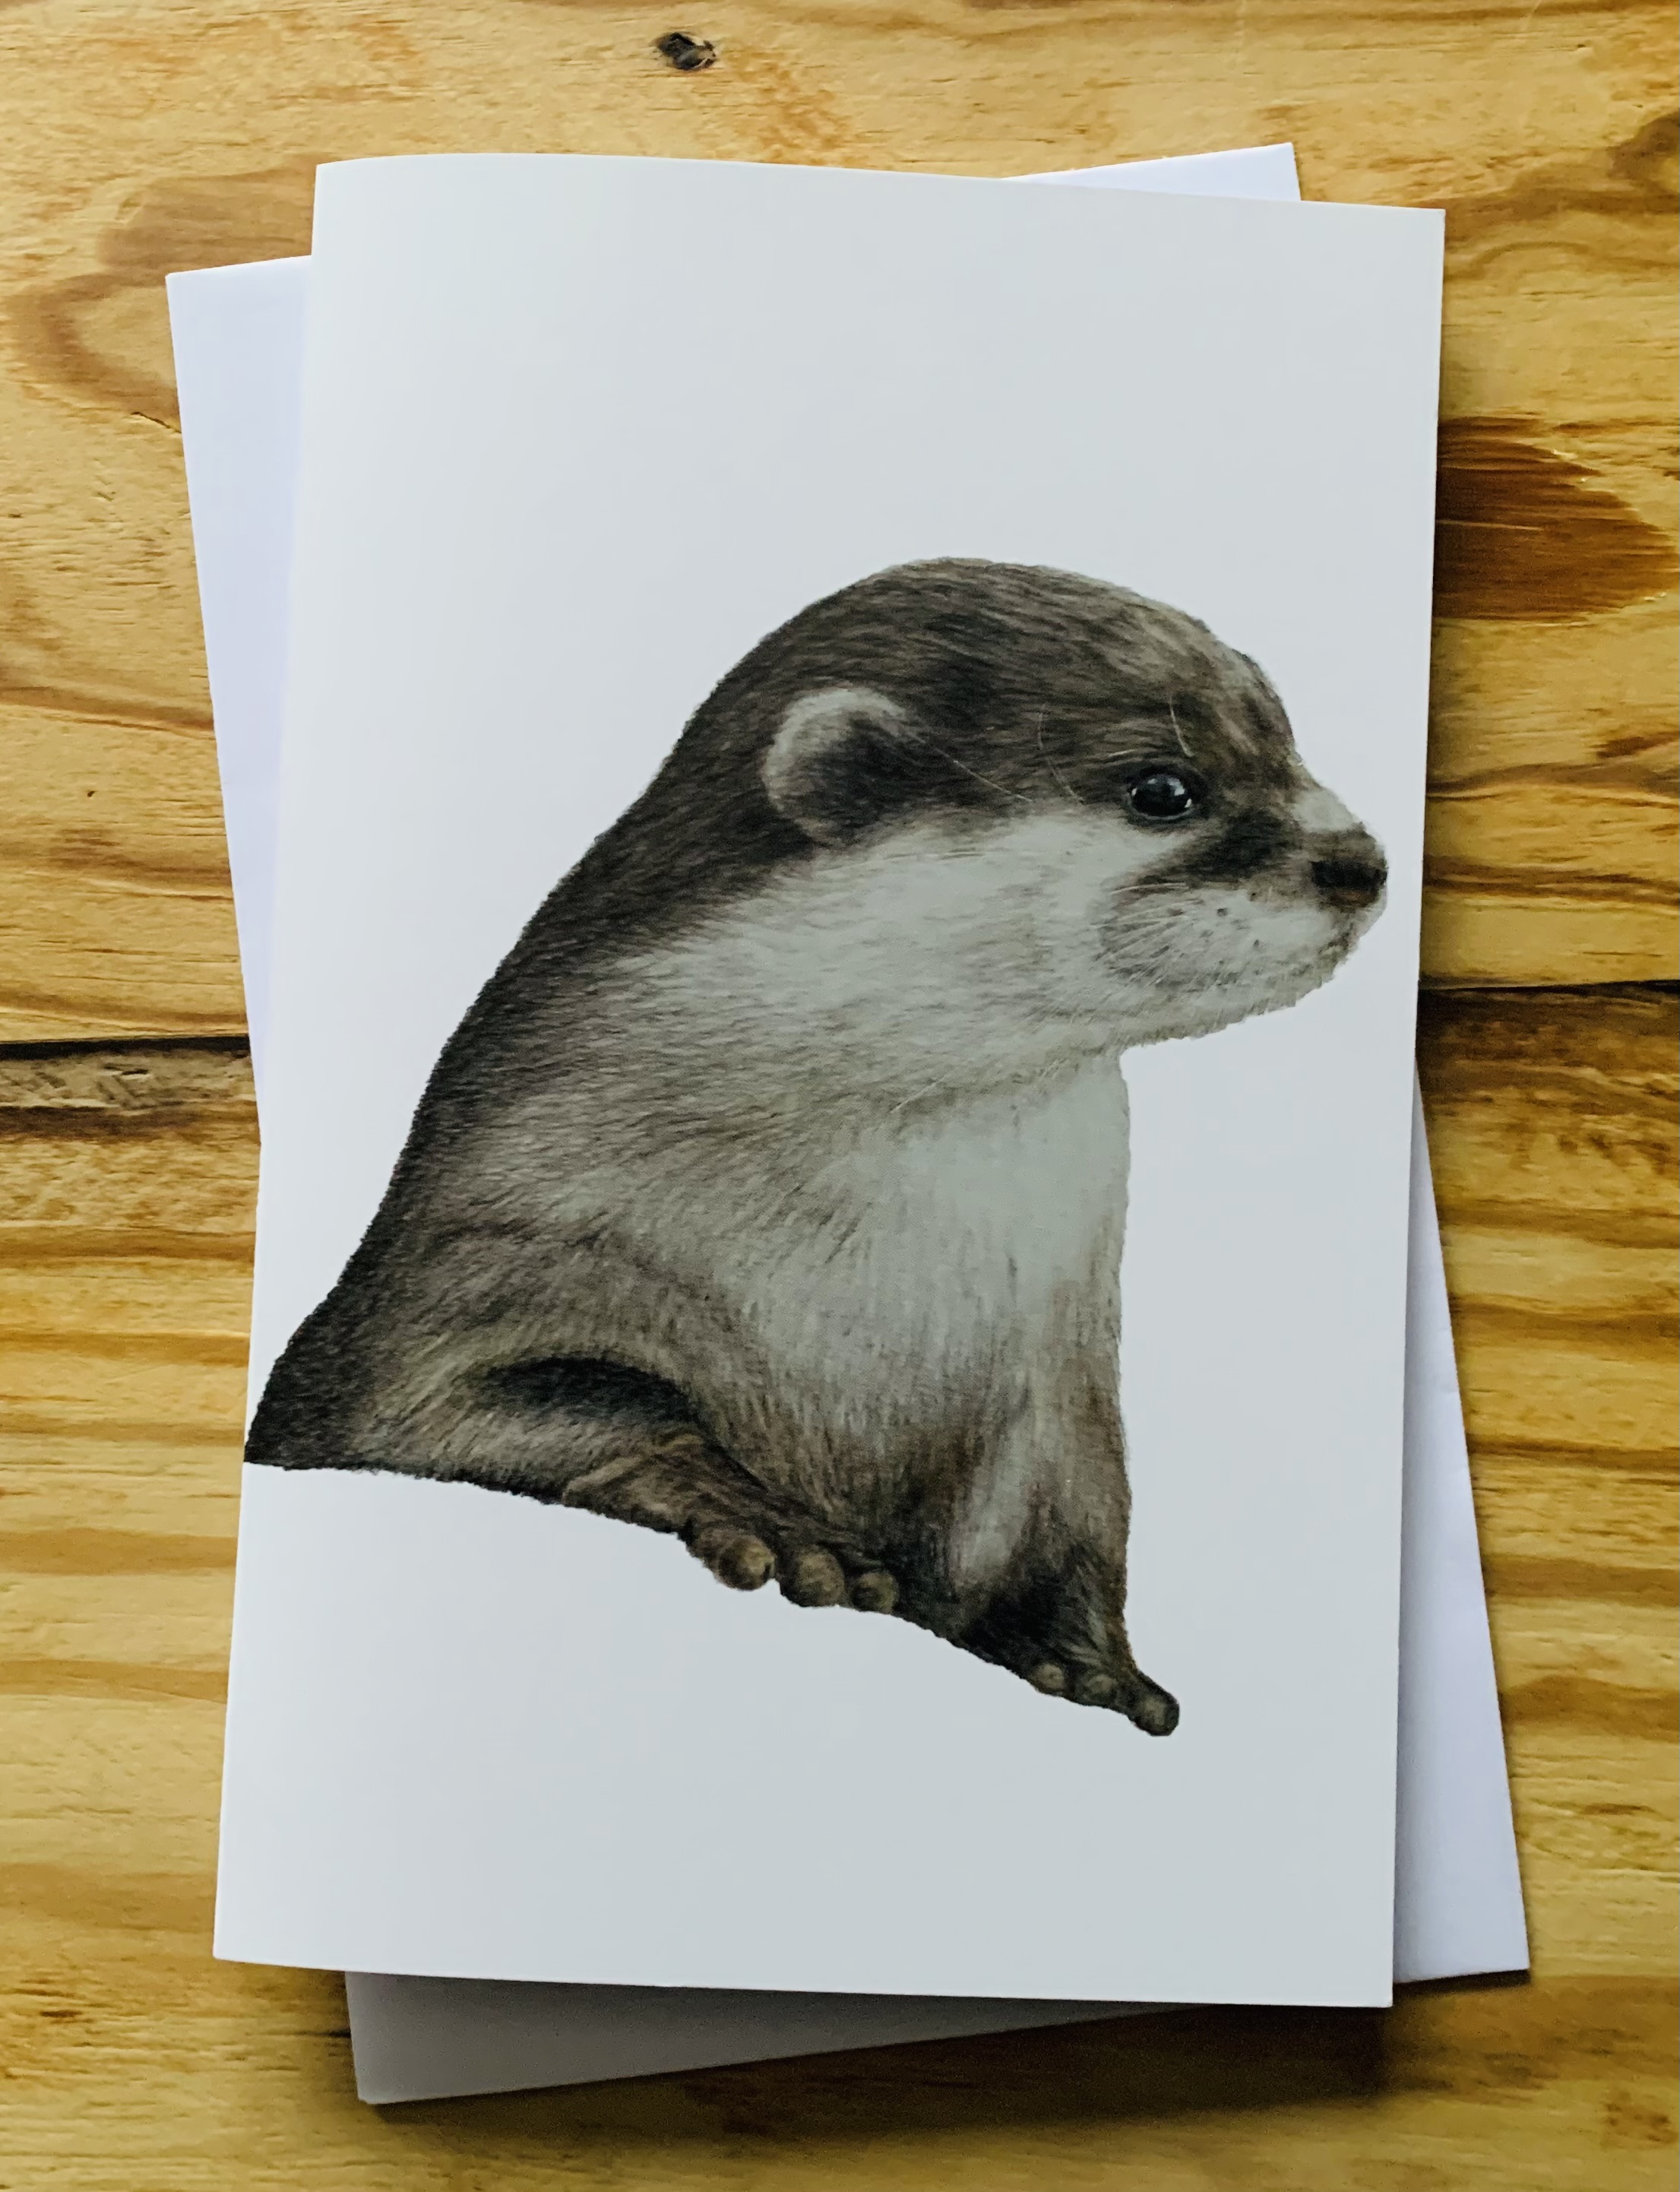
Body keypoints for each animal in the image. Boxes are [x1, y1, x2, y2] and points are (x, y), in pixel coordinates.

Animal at [247, 559, 1386, 1736]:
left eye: (1290, 748)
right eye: (1164, 788)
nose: (1360, 861)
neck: (878, 1291)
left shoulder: (1055, 1389)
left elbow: (1074, 1520)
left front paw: (1089, 1661)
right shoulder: (470, 1265)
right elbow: (520, 1403)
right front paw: (770, 1519)